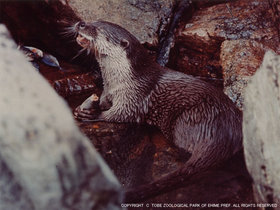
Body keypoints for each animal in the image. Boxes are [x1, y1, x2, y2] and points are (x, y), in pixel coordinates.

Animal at [72, 20, 243, 202]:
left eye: (98, 29)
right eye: (94, 21)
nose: (81, 24)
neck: (120, 81)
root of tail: (223, 135)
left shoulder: (134, 96)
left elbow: (120, 114)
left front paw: (89, 114)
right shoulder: (108, 91)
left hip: (190, 118)